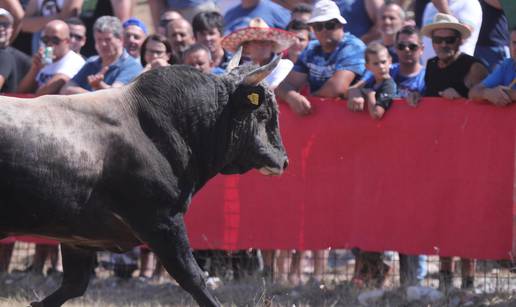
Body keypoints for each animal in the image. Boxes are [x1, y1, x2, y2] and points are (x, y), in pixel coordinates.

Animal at [0, 59, 288, 306]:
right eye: (263, 114)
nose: (284, 160)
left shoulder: (78, 237)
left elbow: (74, 284)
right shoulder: (162, 221)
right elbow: (194, 278)